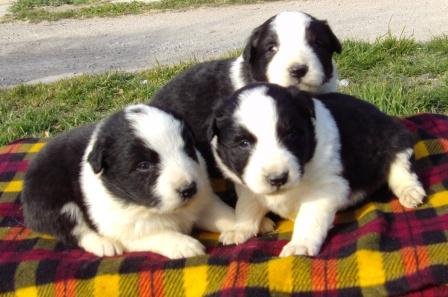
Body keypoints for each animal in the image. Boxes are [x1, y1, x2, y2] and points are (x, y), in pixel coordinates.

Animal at [21, 104, 236, 260]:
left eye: (188, 150)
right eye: (143, 165)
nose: (188, 189)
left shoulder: (204, 201)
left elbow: (225, 214)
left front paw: (239, 226)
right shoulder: (125, 230)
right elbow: (158, 233)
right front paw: (184, 244)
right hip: (53, 203)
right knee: (75, 230)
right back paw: (105, 245)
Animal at [211, 84, 428, 256]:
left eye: (291, 134)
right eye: (243, 143)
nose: (278, 178)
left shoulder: (326, 188)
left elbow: (309, 218)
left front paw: (300, 245)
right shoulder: (246, 186)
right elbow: (246, 206)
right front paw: (240, 229)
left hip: (395, 140)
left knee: (400, 169)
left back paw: (410, 193)